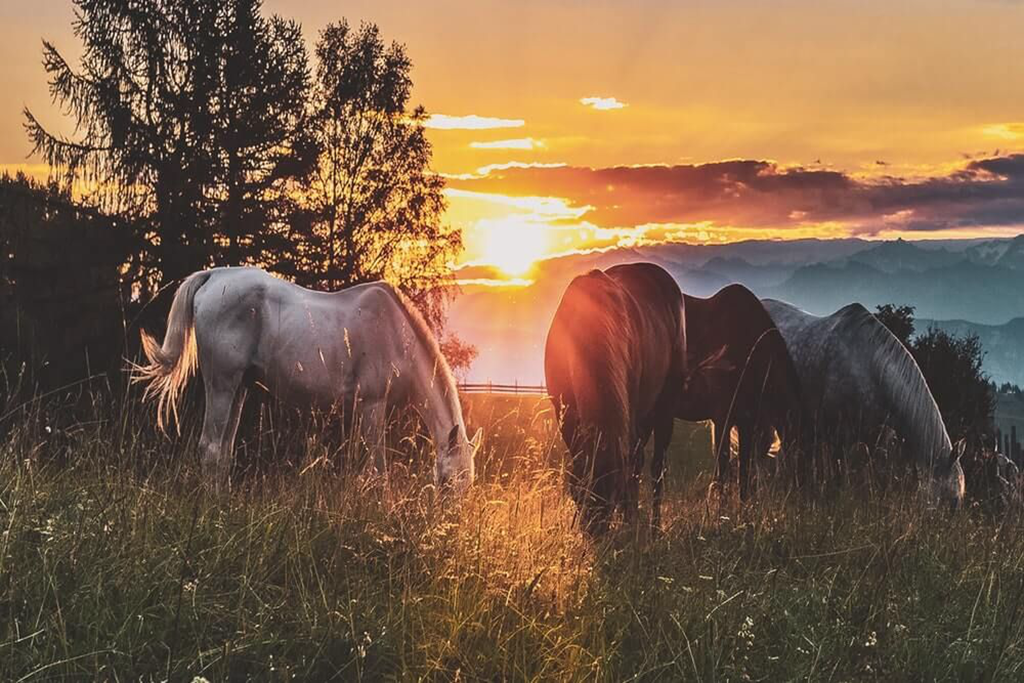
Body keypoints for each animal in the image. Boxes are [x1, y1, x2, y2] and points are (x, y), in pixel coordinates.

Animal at [132, 266, 479, 491]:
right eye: (447, 483)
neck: (396, 333)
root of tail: (213, 276)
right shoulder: (372, 405)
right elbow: (377, 471)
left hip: (239, 387)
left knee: (223, 452)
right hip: (222, 383)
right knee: (211, 448)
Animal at [544, 264, 688, 532]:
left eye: (612, 494)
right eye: (580, 494)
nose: (595, 532)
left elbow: (633, 469)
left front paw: (630, 519)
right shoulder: (564, 413)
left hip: (664, 408)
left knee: (655, 468)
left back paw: (652, 527)